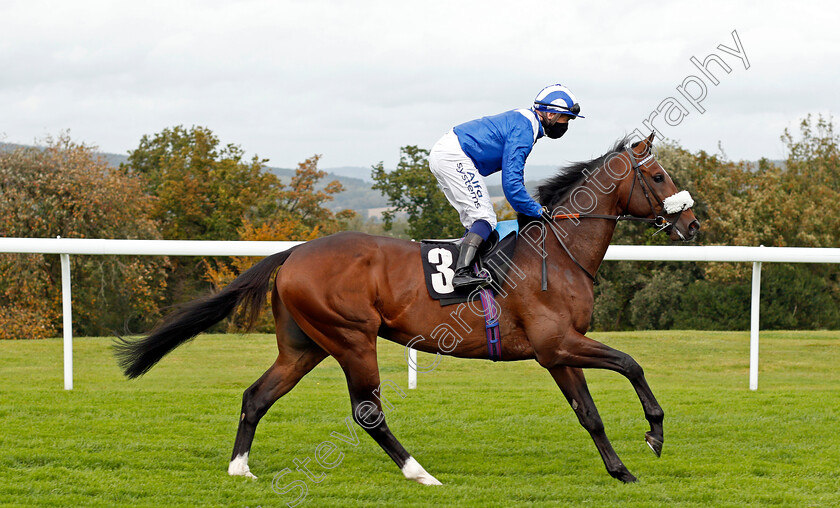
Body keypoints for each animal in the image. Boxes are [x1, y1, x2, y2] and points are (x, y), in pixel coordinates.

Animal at [115, 133, 700, 486]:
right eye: (660, 177)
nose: (692, 224)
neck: (556, 252)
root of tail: (293, 252)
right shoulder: (558, 343)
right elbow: (631, 364)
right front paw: (654, 434)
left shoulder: (556, 353)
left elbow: (589, 414)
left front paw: (620, 470)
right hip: (352, 338)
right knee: (367, 412)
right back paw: (420, 472)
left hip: (304, 346)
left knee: (257, 395)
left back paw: (240, 469)